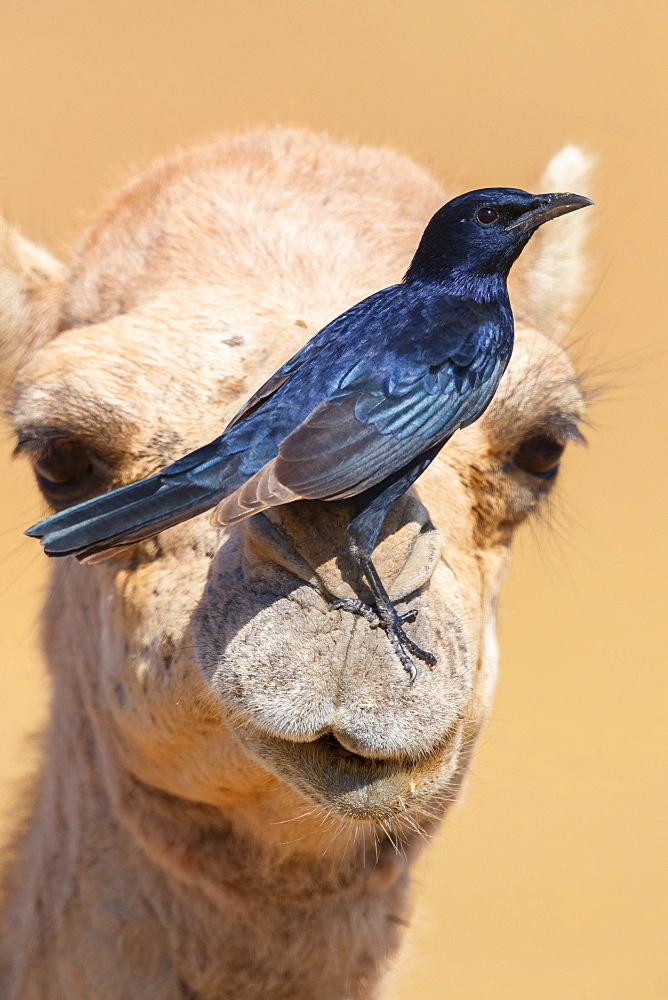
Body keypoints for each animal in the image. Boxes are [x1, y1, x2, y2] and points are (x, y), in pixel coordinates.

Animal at [1, 129, 596, 996]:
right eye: (59, 459)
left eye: (542, 450)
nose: (561, 205)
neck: (459, 292)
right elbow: (361, 541)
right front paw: (397, 633)